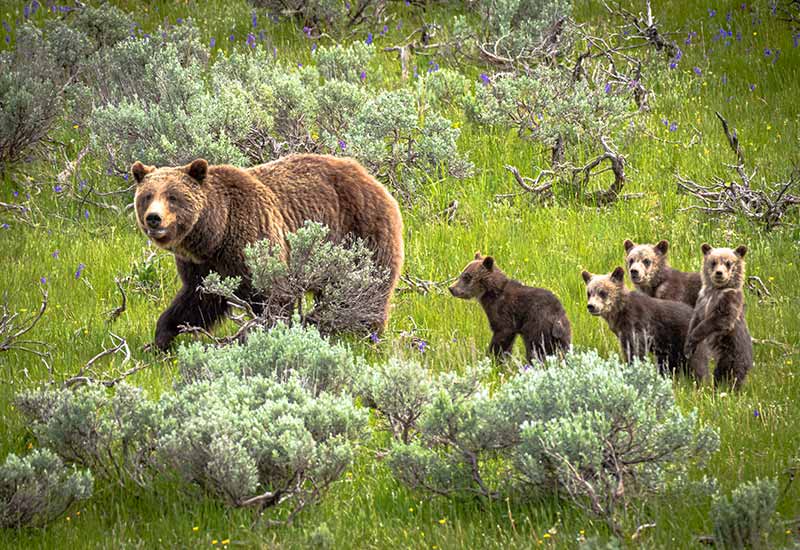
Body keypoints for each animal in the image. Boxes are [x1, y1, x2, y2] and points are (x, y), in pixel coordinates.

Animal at [134, 153, 406, 352]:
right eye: (147, 196)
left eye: (173, 197)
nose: (154, 218)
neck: (216, 233)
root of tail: (372, 178)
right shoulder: (203, 266)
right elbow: (197, 301)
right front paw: (159, 340)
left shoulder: (253, 239)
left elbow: (274, 295)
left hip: (361, 233)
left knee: (366, 289)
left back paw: (364, 332)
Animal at [580, 268, 708, 382]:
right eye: (589, 292)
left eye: (603, 292)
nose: (591, 306)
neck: (620, 314)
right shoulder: (623, 334)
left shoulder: (638, 326)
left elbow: (637, 352)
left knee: (697, 364)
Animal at [684, 244, 752, 390]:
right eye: (713, 262)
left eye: (728, 263)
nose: (719, 273)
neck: (716, 291)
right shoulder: (702, 300)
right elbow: (695, 321)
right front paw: (688, 346)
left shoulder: (729, 301)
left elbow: (718, 320)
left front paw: (693, 339)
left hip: (731, 353)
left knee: (727, 374)